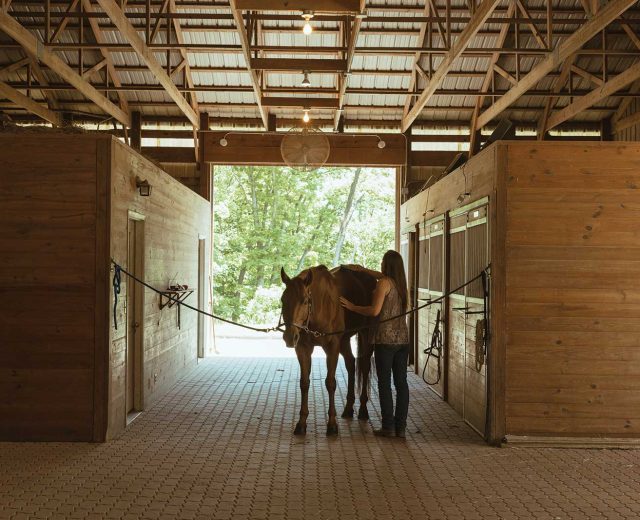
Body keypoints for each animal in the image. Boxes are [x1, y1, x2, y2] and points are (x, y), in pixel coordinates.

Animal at [278, 264, 376, 434]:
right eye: (283, 300)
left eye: (305, 301)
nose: (290, 337)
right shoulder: (303, 348)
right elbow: (304, 383)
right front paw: (301, 422)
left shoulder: (332, 347)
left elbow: (330, 382)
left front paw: (332, 424)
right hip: (344, 340)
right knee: (351, 364)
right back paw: (348, 408)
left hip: (366, 334)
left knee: (364, 366)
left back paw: (363, 409)